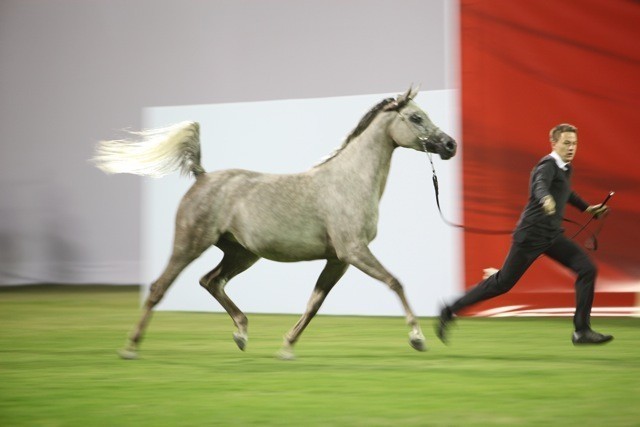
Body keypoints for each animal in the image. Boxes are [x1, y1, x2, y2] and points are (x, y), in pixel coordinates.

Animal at [93, 87, 457, 360]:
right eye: (416, 117)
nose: (450, 144)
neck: (348, 182)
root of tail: (202, 176)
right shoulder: (353, 251)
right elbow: (395, 282)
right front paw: (418, 338)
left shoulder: (338, 259)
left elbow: (314, 304)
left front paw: (286, 347)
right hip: (189, 244)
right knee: (160, 288)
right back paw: (130, 347)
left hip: (241, 254)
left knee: (211, 281)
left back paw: (241, 333)